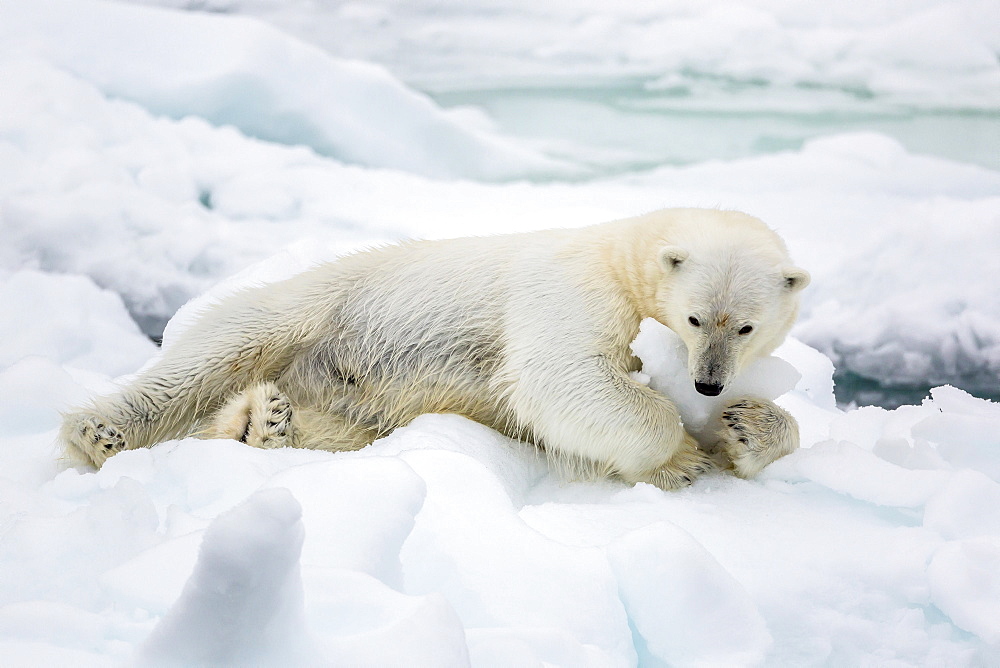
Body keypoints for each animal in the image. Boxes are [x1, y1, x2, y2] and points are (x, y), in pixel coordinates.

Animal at [60, 209, 812, 490]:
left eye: (746, 327)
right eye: (695, 317)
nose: (710, 383)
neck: (622, 251)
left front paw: (746, 426)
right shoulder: (574, 286)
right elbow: (558, 375)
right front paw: (678, 457)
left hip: (355, 403)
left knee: (334, 425)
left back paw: (264, 424)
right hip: (311, 306)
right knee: (210, 355)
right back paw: (100, 432)